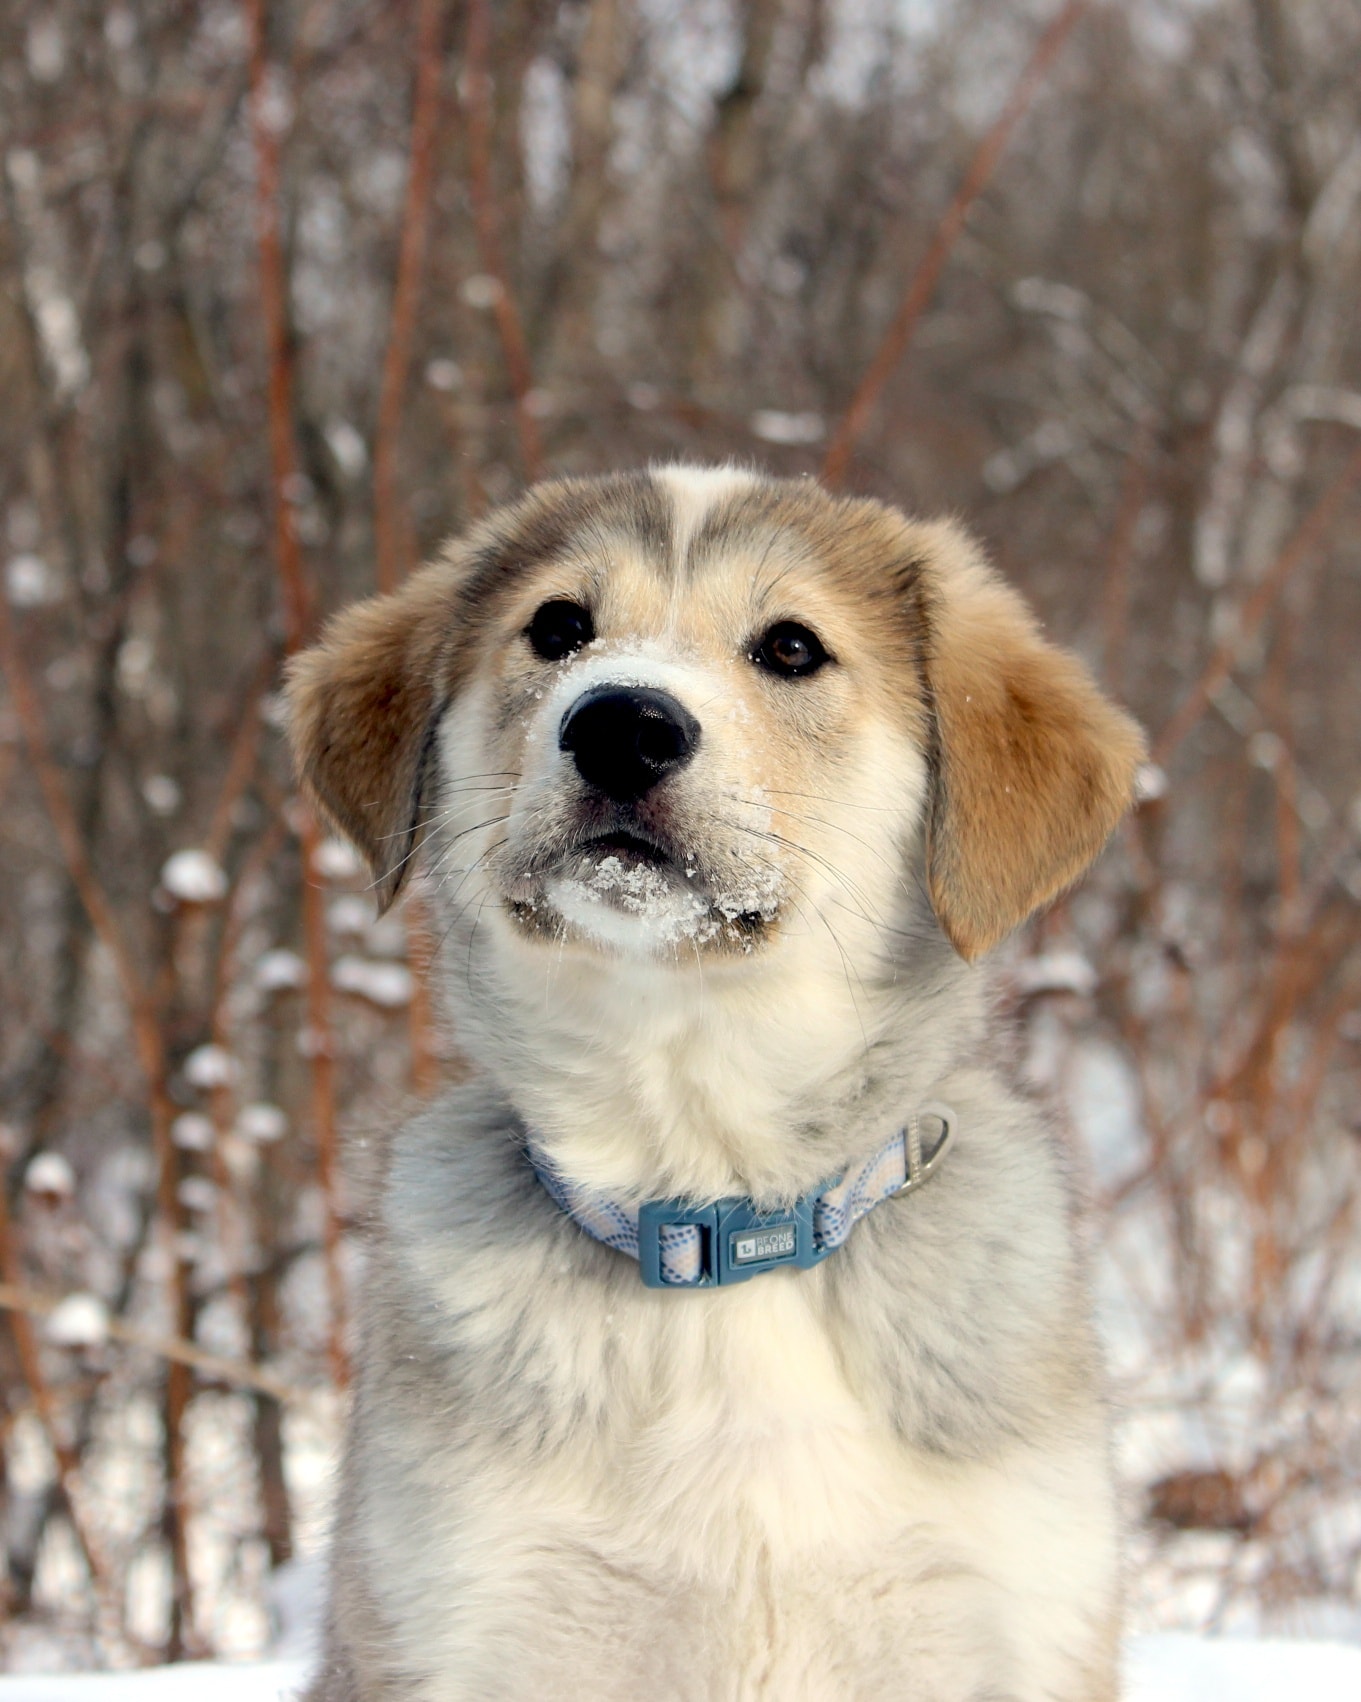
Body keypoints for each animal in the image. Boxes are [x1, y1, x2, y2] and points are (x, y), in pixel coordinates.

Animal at [287, 465, 1145, 1700]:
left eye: (790, 647)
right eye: (558, 628)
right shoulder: (461, 1612)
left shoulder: (1011, 1617)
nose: (621, 725)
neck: (714, 1209)